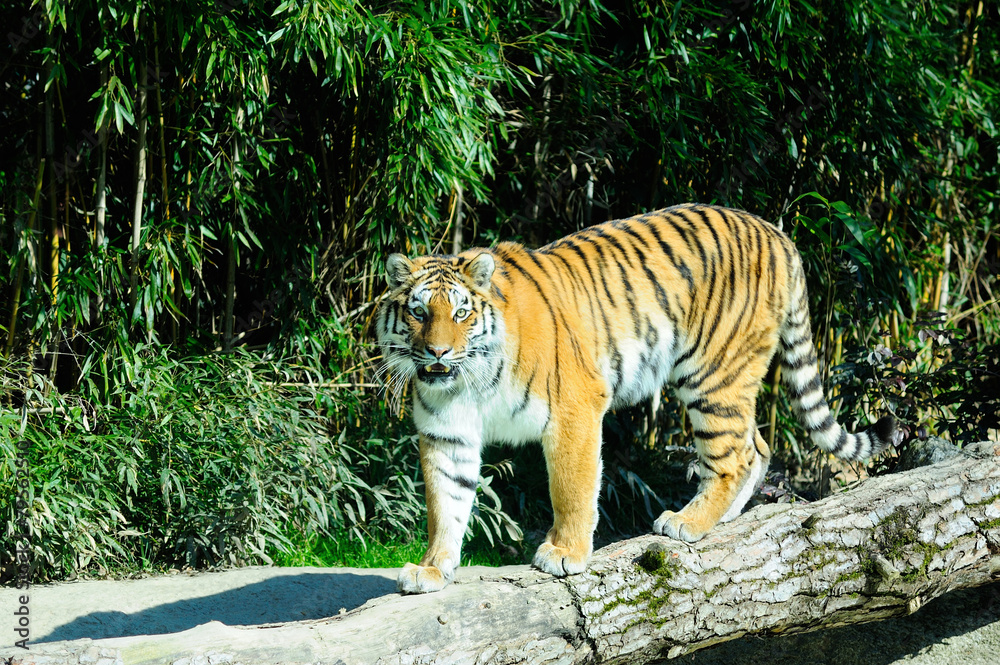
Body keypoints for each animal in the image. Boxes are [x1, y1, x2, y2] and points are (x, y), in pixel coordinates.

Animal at [375, 203, 900, 594]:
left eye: (461, 313)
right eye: (419, 312)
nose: (438, 352)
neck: (468, 380)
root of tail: (778, 234)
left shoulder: (575, 409)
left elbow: (571, 489)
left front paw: (564, 554)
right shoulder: (447, 434)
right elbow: (445, 503)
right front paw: (432, 568)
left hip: (711, 373)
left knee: (732, 457)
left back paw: (687, 523)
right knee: (756, 448)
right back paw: (716, 520)